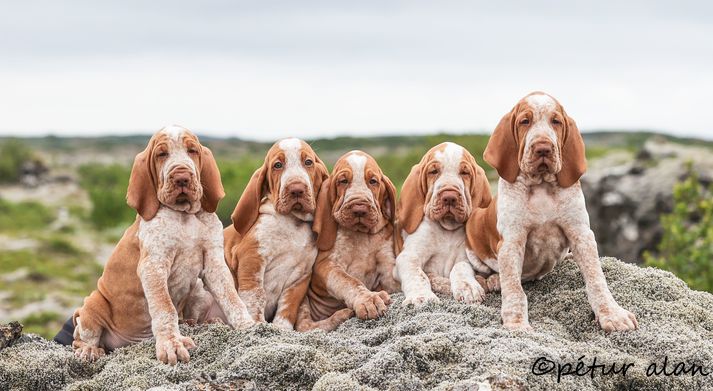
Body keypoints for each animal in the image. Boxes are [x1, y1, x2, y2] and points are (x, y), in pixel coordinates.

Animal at [70, 127, 253, 366]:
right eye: (161, 154)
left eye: (192, 150)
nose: (182, 177)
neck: (184, 216)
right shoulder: (153, 266)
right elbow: (165, 308)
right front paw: (171, 344)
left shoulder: (214, 263)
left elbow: (232, 299)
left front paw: (250, 326)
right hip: (93, 304)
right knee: (81, 338)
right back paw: (90, 350)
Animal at [224, 138, 330, 330]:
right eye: (278, 165)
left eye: (308, 162)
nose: (296, 189)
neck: (293, 223)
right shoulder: (252, 259)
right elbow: (256, 297)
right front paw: (259, 326)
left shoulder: (300, 276)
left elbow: (287, 308)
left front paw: (281, 329)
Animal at [292, 150, 398, 330]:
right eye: (343, 181)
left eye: (373, 181)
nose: (359, 209)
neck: (361, 235)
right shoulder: (326, 265)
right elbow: (349, 281)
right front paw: (369, 299)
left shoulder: (387, 264)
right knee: (307, 326)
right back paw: (341, 315)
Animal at [392, 143, 492, 306]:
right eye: (433, 171)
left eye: (465, 173)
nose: (449, 197)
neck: (447, 230)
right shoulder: (408, 257)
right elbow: (418, 275)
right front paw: (422, 296)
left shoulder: (466, 258)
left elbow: (460, 267)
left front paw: (468, 287)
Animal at [468, 92, 640, 334]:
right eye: (525, 121)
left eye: (556, 122)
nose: (543, 148)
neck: (541, 186)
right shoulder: (512, 242)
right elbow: (514, 290)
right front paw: (517, 323)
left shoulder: (581, 234)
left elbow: (597, 280)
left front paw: (613, 314)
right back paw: (493, 280)